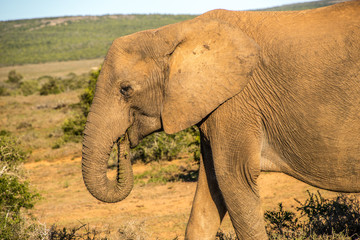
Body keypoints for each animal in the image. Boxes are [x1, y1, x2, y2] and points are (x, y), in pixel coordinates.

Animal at [81, 0, 360, 239]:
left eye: (125, 89)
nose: (123, 141)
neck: (175, 31)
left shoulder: (236, 103)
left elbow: (233, 178)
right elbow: (209, 188)